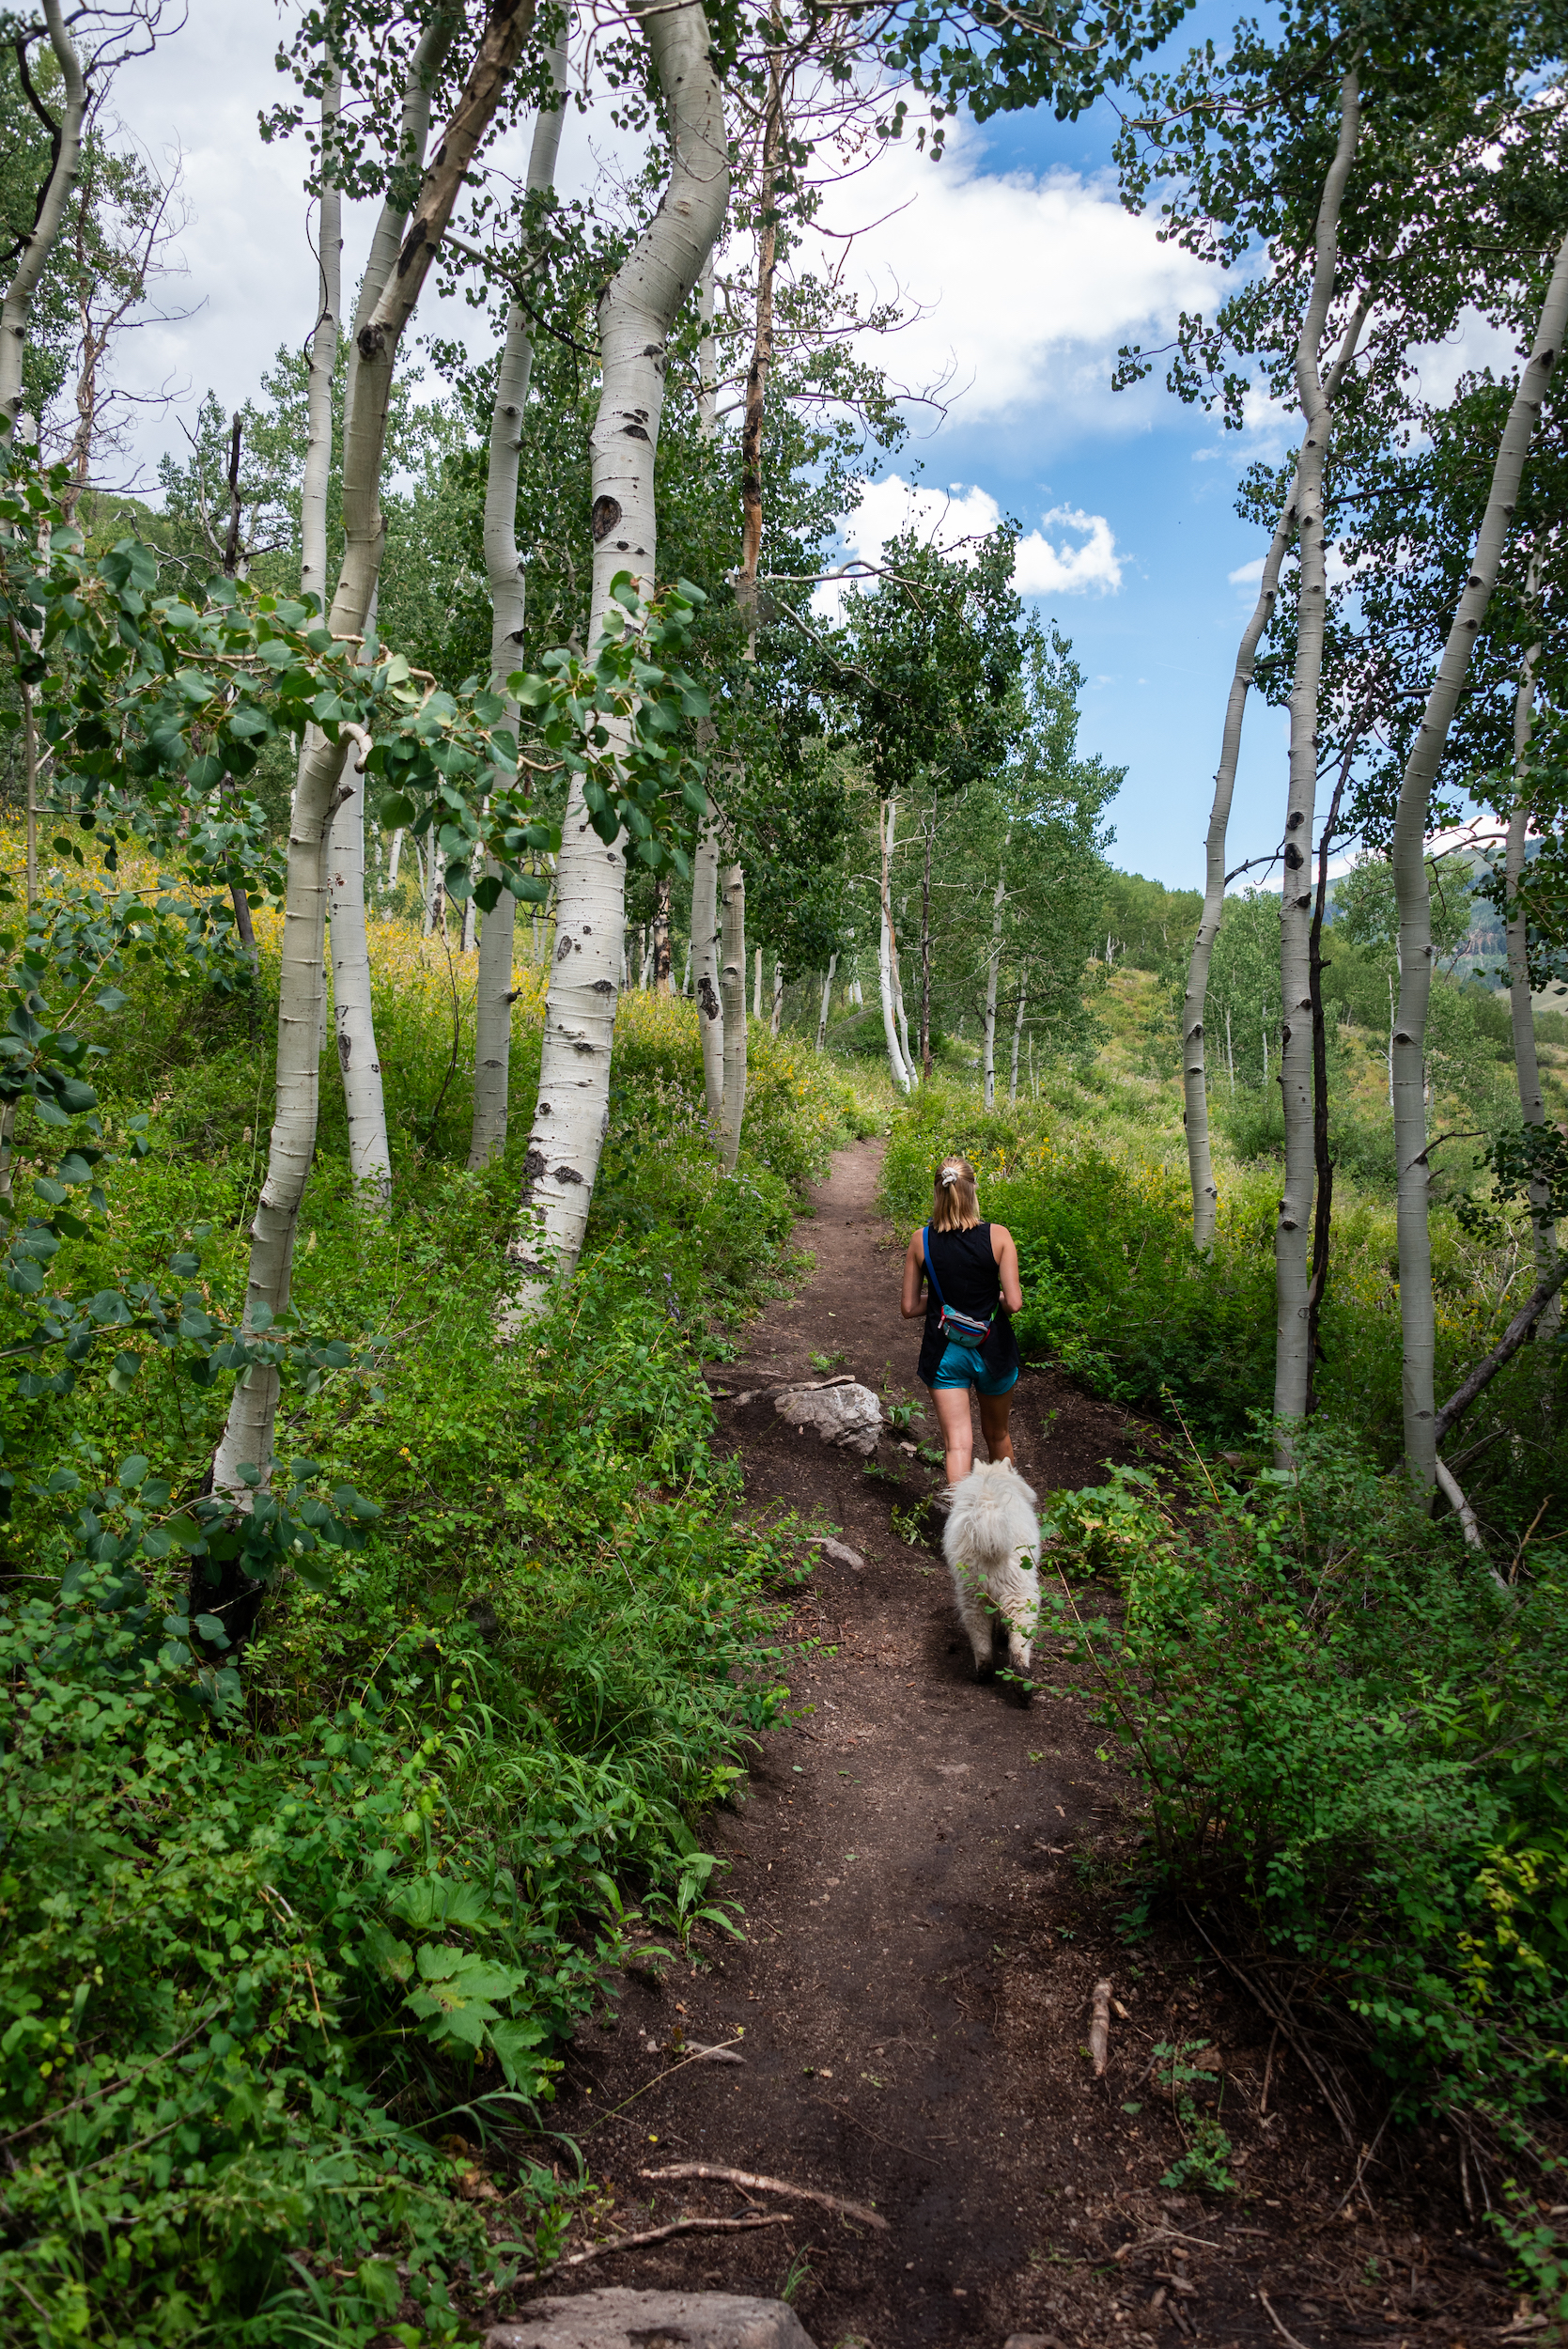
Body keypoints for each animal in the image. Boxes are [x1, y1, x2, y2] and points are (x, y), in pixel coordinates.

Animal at [943, 1447, 1042, 1691]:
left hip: (973, 1599)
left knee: (981, 1642)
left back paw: (985, 1673)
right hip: (1020, 1596)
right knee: (1019, 1645)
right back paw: (1023, 1685)